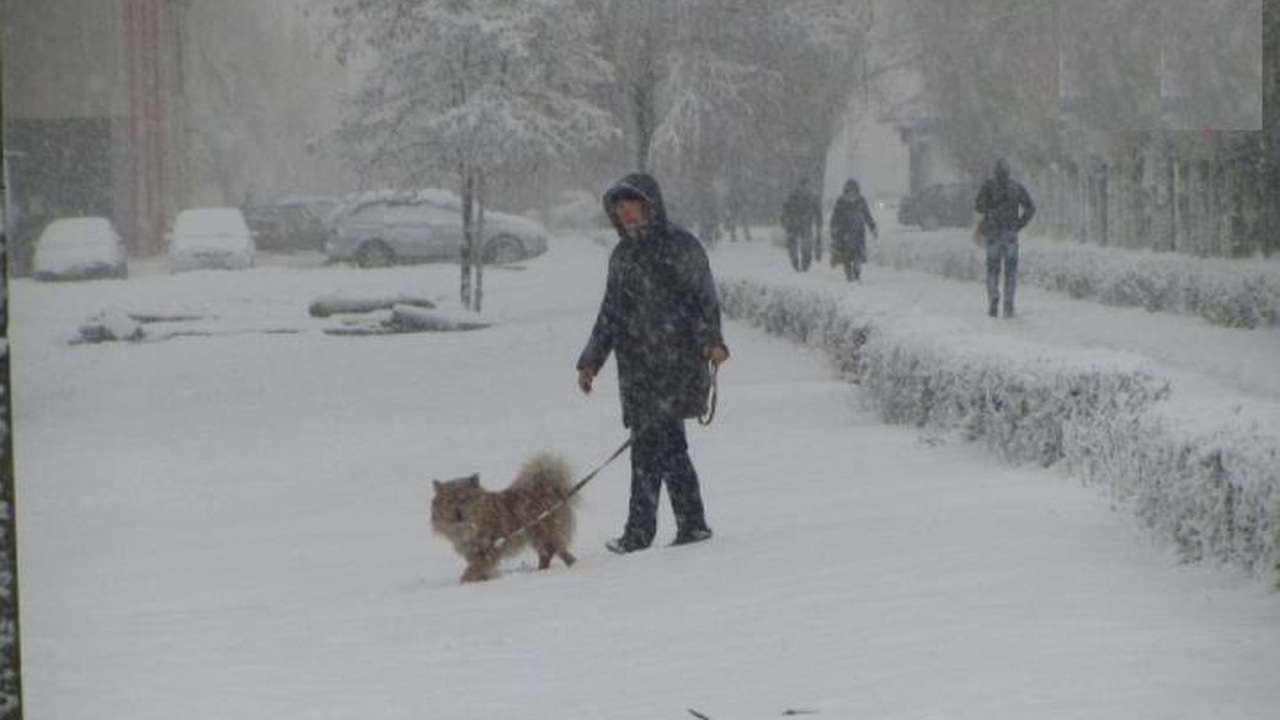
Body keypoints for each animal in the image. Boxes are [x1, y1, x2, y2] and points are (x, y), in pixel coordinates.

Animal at [432, 450, 578, 579]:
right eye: (449, 501)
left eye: (465, 499)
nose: (457, 512)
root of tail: (550, 488)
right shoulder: (472, 552)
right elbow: (480, 570)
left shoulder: (488, 550)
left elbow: (474, 568)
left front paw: (466, 580)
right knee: (562, 552)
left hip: (540, 533)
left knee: (547, 552)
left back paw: (542, 571)